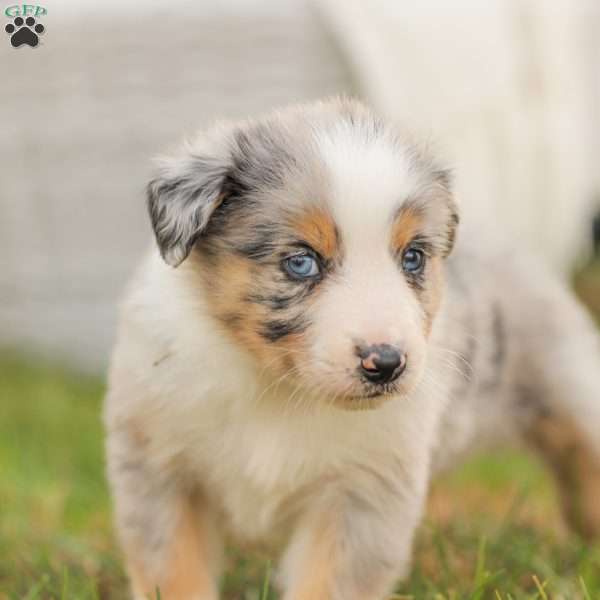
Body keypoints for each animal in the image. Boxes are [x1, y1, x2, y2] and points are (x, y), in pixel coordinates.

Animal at [105, 99, 600, 600]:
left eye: (413, 257)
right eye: (301, 262)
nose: (386, 364)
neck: (276, 389)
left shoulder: (364, 492)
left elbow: (329, 582)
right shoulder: (157, 467)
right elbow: (173, 571)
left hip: (569, 387)